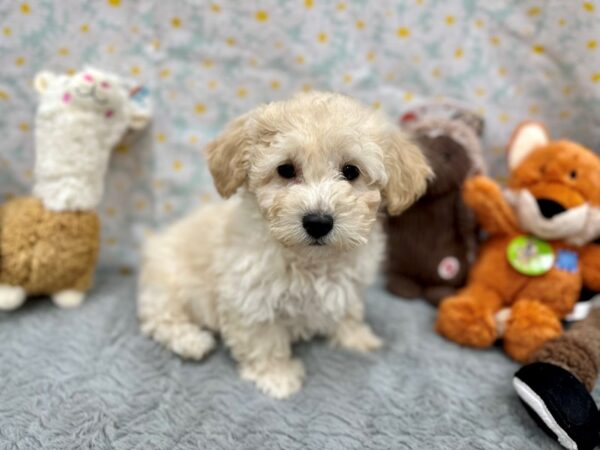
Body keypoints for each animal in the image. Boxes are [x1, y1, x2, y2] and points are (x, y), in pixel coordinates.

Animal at [139, 91, 432, 398]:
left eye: (351, 171)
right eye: (286, 170)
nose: (318, 222)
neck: (311, 260)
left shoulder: (349, 285)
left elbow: (348, 311)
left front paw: (357, 338)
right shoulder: (249, 297)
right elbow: (263, 339)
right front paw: (277, 377)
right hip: (166, 285)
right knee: (159, 318)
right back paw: (191, 341)